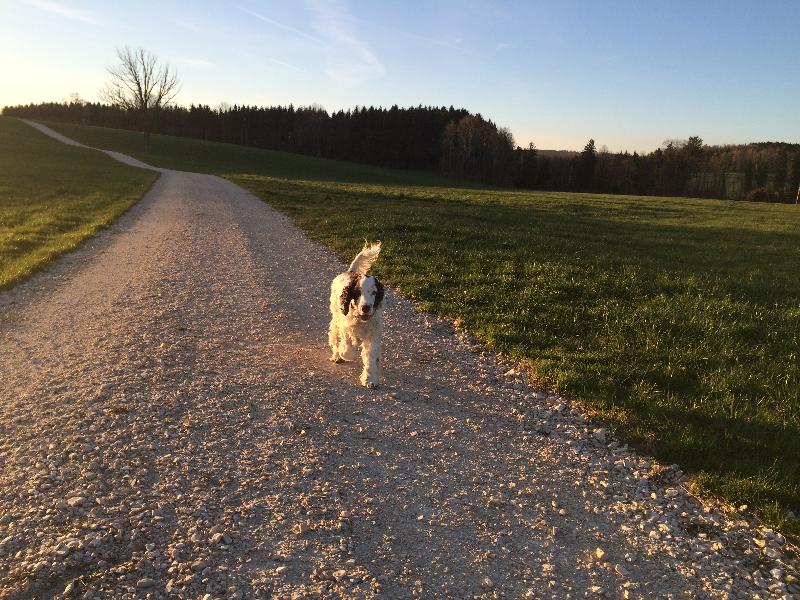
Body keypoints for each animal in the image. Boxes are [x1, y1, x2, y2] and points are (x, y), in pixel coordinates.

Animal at [328, 241, 385, 388]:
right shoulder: (345, 326)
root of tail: (351, 272)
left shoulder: (373, 335)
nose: (365, 308)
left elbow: (370, 358)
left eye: (374, 292)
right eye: (358, 292)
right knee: (334, 336)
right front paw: (346, 354)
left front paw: (369, 379)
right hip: (335, 318)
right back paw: (337, 356)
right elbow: (347, 348)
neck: (361, 321)